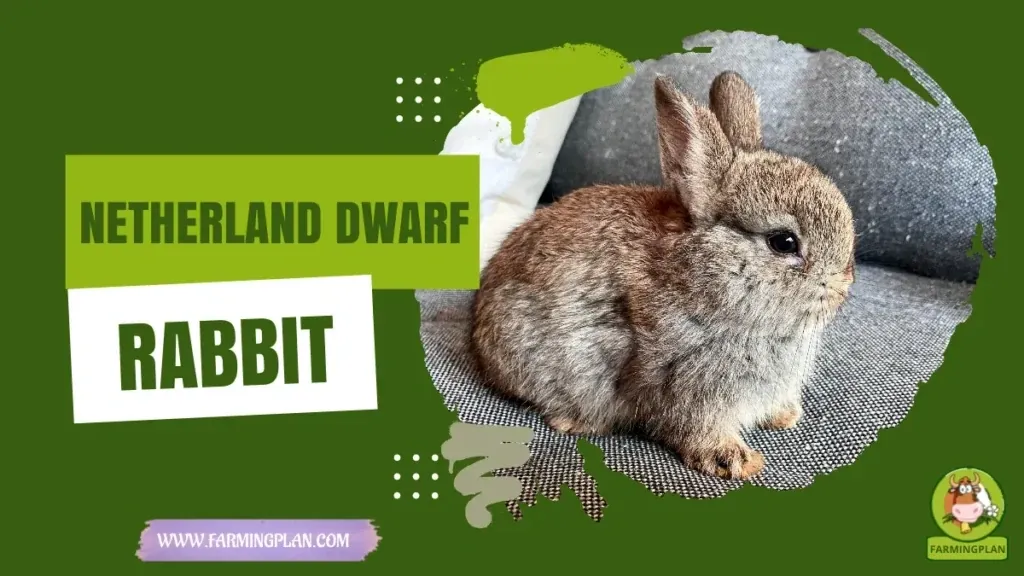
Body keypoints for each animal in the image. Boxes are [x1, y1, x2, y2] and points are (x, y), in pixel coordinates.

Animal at [470, 71, 856, 480]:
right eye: (783, 242)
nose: (843, 287)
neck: (703, 277)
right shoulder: (687, 387)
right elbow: (696, 428)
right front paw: (739, 462)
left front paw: (785, 417)